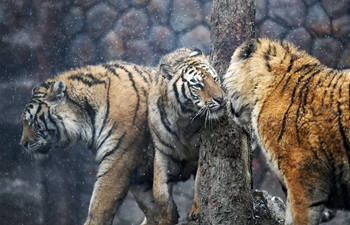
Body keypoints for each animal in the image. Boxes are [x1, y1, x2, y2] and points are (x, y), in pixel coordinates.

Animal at [18, 60, 157, 225]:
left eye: (31, 121)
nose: (23, 144)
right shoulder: (140, 175)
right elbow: (158, 209)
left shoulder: (119, 159)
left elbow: (101, 204)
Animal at [148, 48, 226, 224]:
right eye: (197, 85)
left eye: (215, 79)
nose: (221, 99)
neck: (183, 118)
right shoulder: (163, 151)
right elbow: (158, 190)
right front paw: (168, 217)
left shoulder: (201, 151)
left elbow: (200, 182)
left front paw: (196, 210)